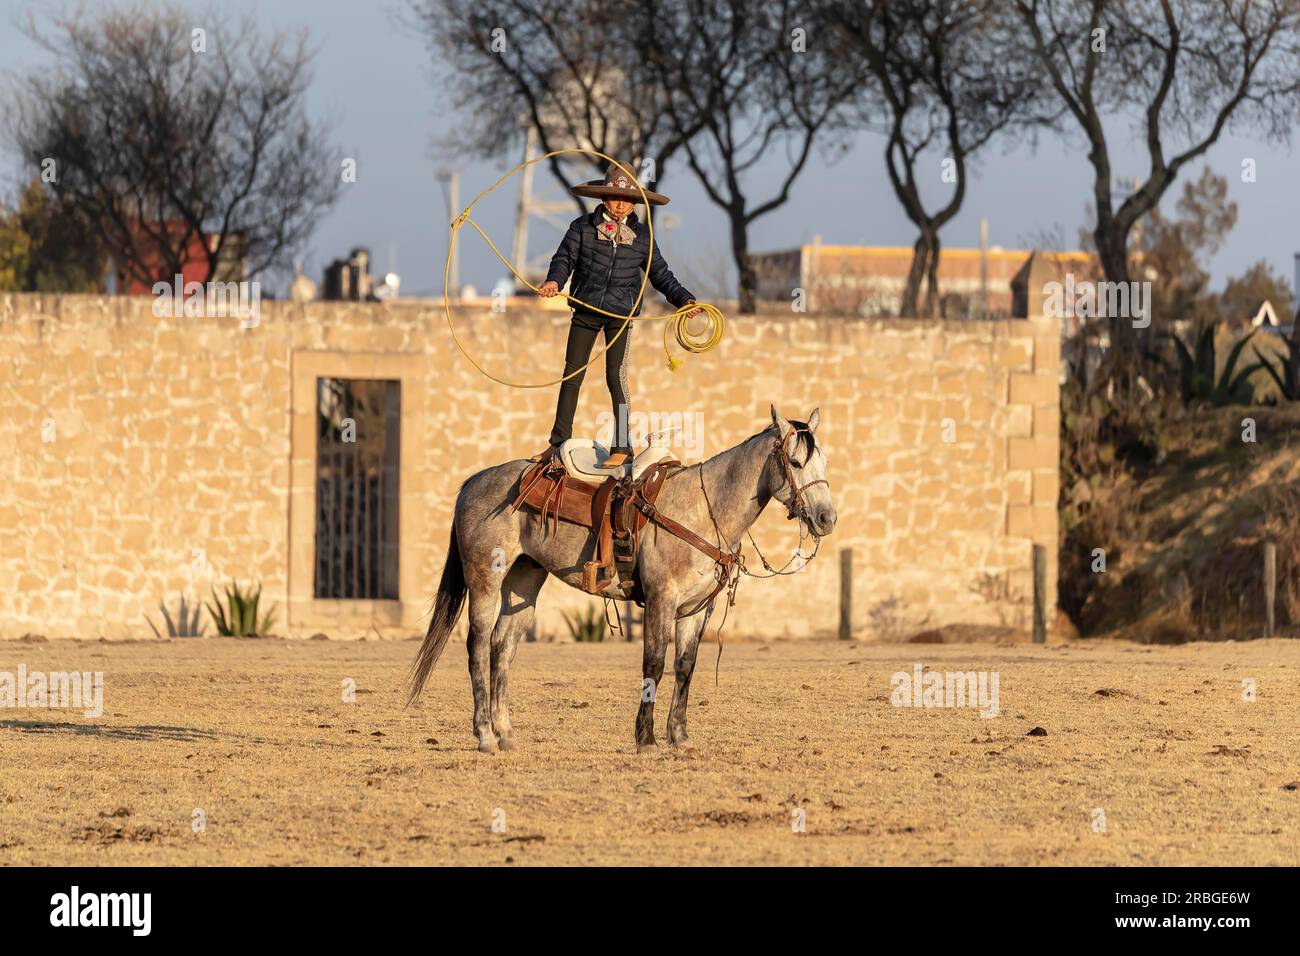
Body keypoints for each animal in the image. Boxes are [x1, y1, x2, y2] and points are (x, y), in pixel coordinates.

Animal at [406, 405, 837, 753]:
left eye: (824, 462)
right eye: (795, 462)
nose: (826, 518)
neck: (704, 508)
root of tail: (475, 481)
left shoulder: (696, 609)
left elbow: (685, 667)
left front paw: (679, 737)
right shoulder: (662, 599)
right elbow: (654, 665)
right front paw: (645, 739)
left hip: (524, 582)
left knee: (502, 650)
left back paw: (505, 735)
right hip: (485, 581)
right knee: (478, 648)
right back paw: (483, 736)